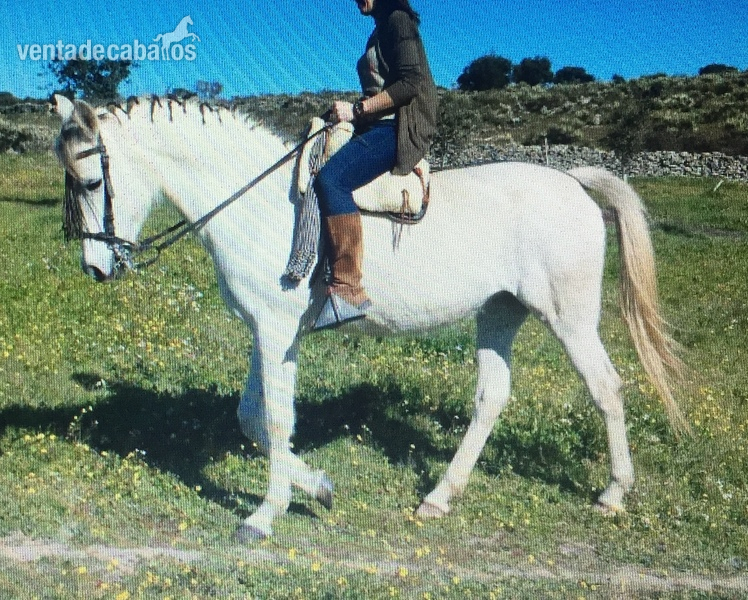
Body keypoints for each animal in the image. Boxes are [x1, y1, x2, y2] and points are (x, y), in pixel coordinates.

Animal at [52, 94, 687, 541]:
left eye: (91, 180)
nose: (96, 267)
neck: (258, 202)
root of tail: (572, 181)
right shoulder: (266, 330)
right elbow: (252, 418)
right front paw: (318, 487)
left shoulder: (278, 332)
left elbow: (275, 421)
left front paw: (264, 515)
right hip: (499, 313)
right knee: (491, 398)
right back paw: (439, 497)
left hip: (568, 316)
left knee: (606, 388)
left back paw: (612, 494)